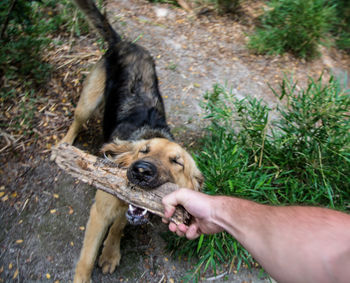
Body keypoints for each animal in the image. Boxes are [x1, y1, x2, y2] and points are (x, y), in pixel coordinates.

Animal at [53, 1, 204, 282]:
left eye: (177, 162)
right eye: (143, 150)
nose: (141, 171)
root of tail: (125, 43)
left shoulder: (127, 206)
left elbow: (120, 226)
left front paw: (110, 252)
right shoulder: (99, 213)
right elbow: (86, 261)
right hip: (89, 101)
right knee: (77, 121)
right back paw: (64, 145)